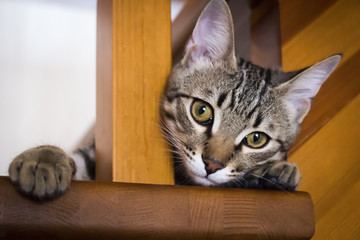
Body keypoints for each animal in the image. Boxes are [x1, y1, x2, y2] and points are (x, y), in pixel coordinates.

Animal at [7, 0, 340, 199]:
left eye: (256, 139)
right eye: (201, 111)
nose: (212, 164)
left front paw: (276, 170)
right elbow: (82, 158)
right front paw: (44, 158)